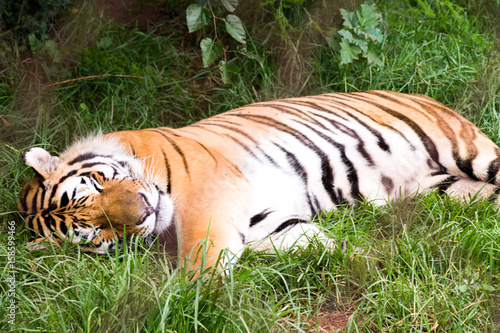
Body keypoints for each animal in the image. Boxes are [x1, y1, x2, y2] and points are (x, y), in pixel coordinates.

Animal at [17, 90, 500, 268]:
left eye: (100, 181)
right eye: (96, 232)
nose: (144, 211)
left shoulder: (210, 199)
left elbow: (202, 258)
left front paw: (197, 299)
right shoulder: (267, 225)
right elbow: (329, 247)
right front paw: (376, 263)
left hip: (471, 153)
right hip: (446, 189)